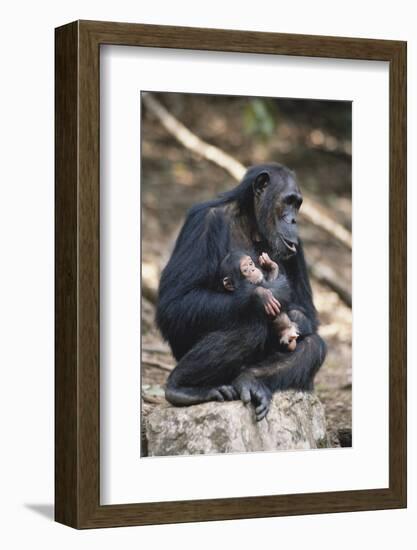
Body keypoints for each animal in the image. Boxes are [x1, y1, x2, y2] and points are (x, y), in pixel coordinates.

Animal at [156, 162, 324, 420]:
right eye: (288, 201)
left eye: (297, 204)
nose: (294, 220)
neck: (252, 222)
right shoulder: (201, 222)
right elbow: (175, 303)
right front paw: (261, 295)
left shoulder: (299, 247)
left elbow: (307, 312)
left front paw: (289, 317)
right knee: (249, 325)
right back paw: (181, 387)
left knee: (313, 345)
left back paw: (249, 380)